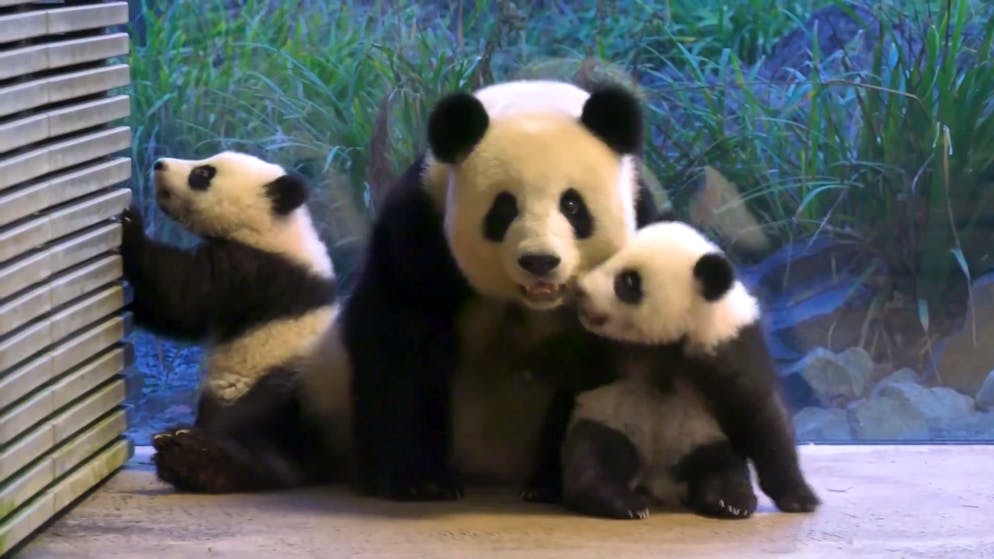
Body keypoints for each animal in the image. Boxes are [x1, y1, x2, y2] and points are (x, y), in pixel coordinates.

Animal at [119, 150, 340, 492]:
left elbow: (184, 296)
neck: (277, 230)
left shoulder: (260, 274)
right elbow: (174, 315)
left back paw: (193, 454)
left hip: (295, 386)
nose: (159, 164)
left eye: (203, 173)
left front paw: (131, 227)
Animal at [563, 220, 820, 519]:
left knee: (721, 467)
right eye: (606, 259)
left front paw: (800, 498)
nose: (580, 290)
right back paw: (620, 501)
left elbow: (761, 416)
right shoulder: (605, 349)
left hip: (702, 439)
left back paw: (729, 501)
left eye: (628, 281)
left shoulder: (726, 346)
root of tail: (657, 482)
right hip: (612, 421)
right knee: (596, 454)